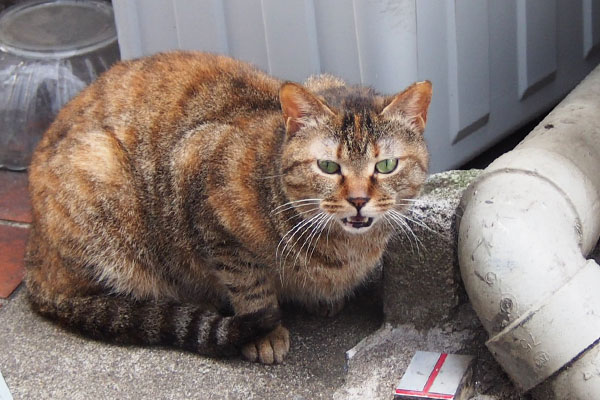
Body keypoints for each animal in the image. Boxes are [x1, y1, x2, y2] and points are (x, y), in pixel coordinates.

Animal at [24, 51, 432, 364]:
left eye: (386, 165)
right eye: (328, 167)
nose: (359, 199)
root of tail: (34, 257)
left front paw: (323, 299)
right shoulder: (200, 187)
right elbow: (249, 286)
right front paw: (265, 333)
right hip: (101, 174)